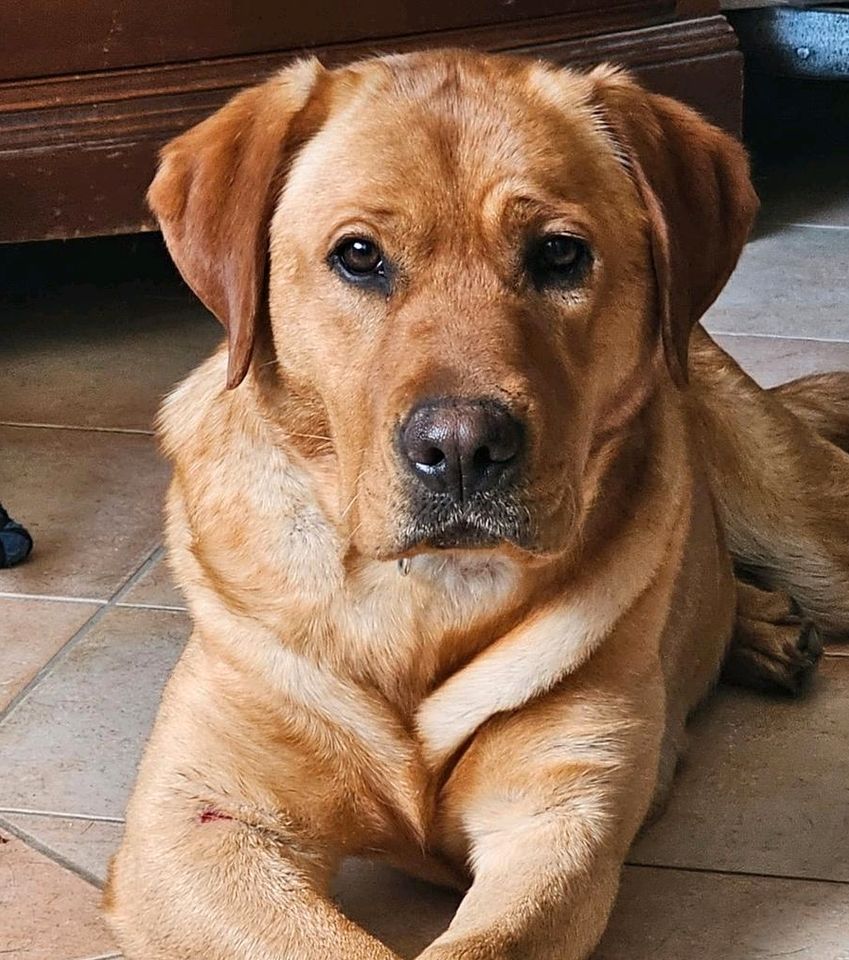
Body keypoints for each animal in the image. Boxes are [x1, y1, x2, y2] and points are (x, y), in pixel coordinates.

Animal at [104, 50, 848, 960]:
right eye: (359, 255)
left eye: (559, 254)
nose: (462, 447)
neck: (423, 595)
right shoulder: (194, 821)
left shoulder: (560, 820)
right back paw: (761, 626)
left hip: (806, 529)